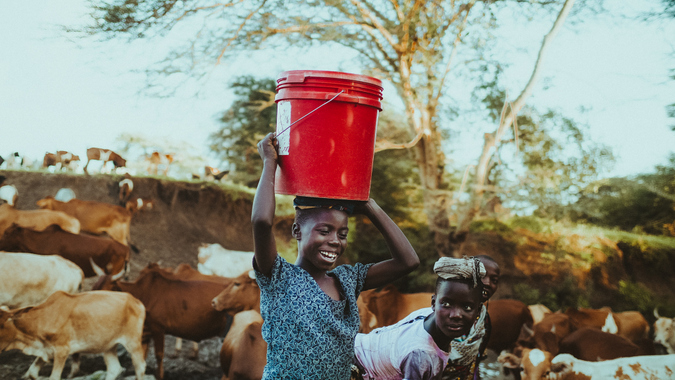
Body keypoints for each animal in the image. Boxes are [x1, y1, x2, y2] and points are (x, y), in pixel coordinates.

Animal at [0, 290, 147, 380]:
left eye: (1, 325)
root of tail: (136, 301)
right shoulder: (47, 350)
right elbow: (31, 373)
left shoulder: (62, 350)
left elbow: (54, 377)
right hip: (108, 346)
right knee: (114, 369)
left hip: (133, 342)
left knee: (140, 367)